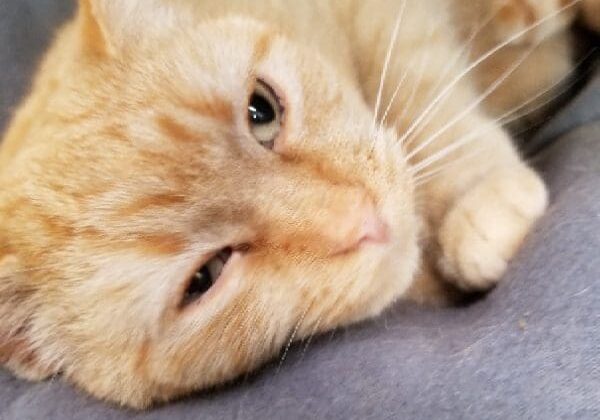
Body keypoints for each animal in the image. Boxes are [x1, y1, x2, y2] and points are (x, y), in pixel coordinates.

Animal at [0, 0, 596, 408]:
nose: (361, 217)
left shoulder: (381, 18)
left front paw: (480, 192)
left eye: (261, 109)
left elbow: (422, 85)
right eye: (204, 278)